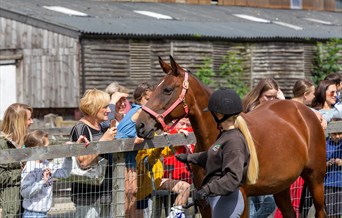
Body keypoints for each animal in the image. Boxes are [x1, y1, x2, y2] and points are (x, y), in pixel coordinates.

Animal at [136, 55, 326, 217]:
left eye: (167, 90)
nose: (140, 125)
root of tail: (305, 111)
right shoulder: (204, 202)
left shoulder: (239, 199)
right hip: (281, 186)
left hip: (315, 180)